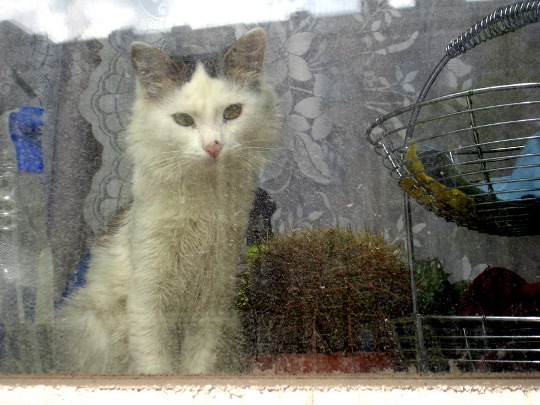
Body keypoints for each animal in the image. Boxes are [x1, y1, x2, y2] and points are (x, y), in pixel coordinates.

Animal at [55, 28, 280, 375]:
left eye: (232, 113)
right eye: (184, 120)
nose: (213, 146)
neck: (204, 202)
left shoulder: (214, 296)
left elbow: (199, 363)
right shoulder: (148, 295)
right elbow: (154, 363)